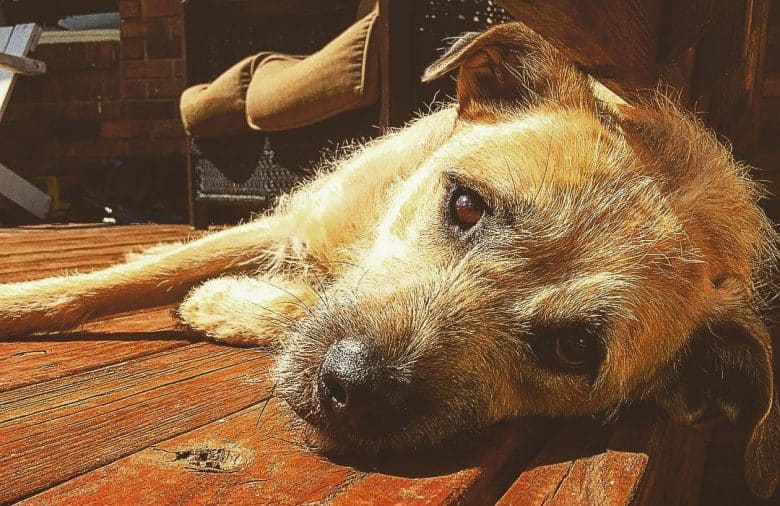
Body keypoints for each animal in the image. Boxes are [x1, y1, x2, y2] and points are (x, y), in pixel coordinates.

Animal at [1, 22, 780, 498]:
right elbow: (115, 281)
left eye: (572, 348)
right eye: (464, 205)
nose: (350, 388)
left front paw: (221, 304)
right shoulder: (296, 221)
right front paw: (26, 303)